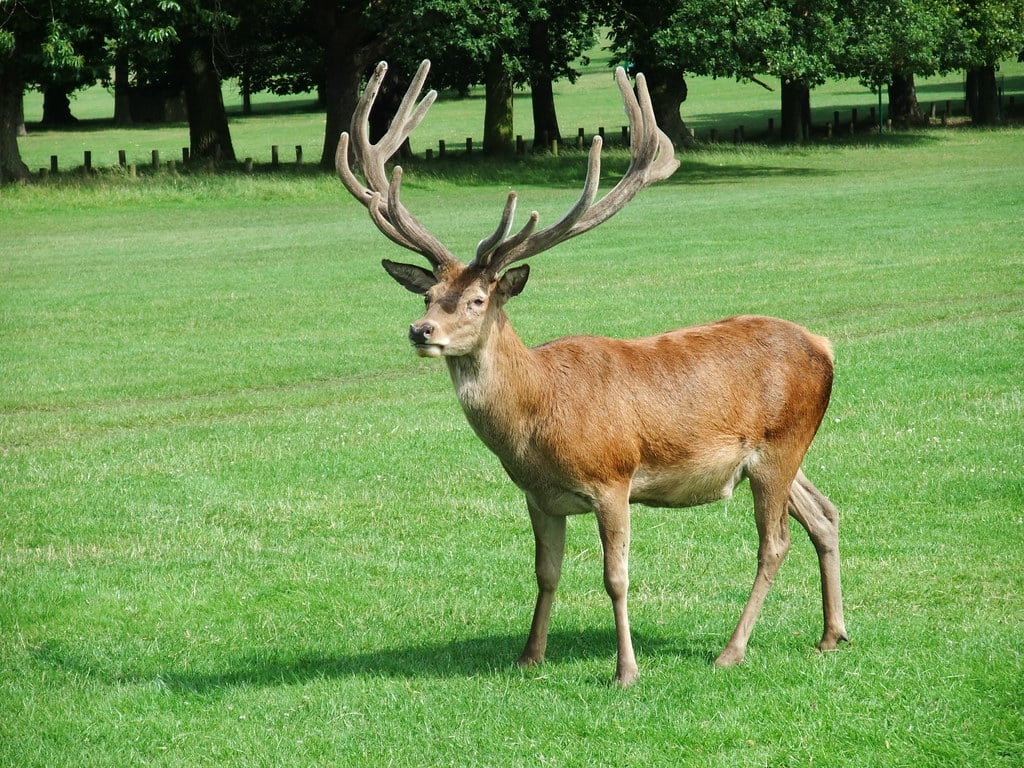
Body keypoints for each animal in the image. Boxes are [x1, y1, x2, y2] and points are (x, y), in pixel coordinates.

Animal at [336, 59, 849, 687]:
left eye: (478, 300)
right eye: (429, 295)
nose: (420, 330)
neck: (536, 420)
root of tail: (825, 346)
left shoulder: (613, 478)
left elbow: (615, 577)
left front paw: (626, 670)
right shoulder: (536, 495)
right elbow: (545, 572)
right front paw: (529, 656)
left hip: (780, 445)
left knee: (774, 543)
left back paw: (732, 649)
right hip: (785, 451)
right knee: (825, 514)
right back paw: (831, 635)